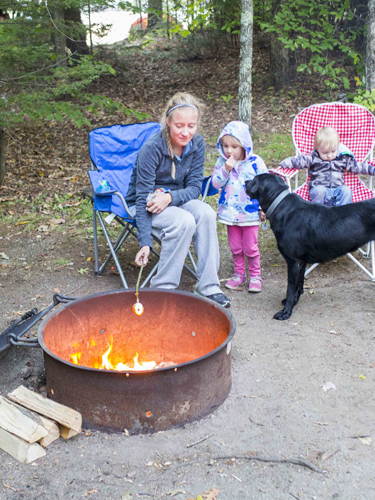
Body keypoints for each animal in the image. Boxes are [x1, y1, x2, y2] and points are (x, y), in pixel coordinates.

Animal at [245, 173, 375, 320]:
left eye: (254, 180)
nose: (245, 182)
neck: (280, 206)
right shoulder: (301, 261)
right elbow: (299, 285)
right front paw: (294, 302)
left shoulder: (293, 261)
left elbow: (290, 288)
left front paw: (286, 312)